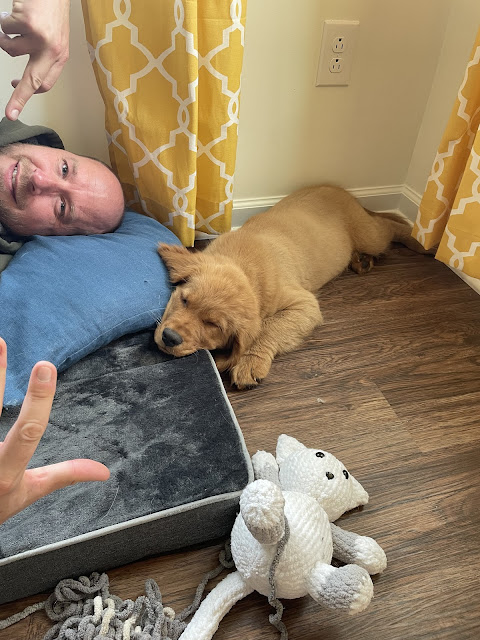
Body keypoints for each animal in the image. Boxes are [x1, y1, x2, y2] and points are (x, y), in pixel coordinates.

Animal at [156, 182, 426, 388]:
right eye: (184, 300)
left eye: (212, 325)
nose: (169, 337)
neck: (244, 264)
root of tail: (338, 189)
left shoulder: (305, 304)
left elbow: (268, 328)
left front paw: (251, 362)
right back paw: (362, 261)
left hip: (369, 234)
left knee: (389, 228)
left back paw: (420, 241)